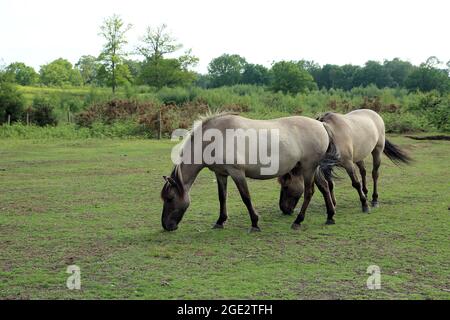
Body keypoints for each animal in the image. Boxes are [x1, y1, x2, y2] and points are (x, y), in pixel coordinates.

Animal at [160, 113, 340, 232]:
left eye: (170, 198)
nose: (166, 226)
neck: (215, 139)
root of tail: (321, 125)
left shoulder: (237, 173)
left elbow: (246, 197)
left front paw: (254, 223)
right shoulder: (221, 174)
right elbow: (222, 197)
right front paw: (220, 221)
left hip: (308, 168)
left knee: (309, 192)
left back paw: (298, 221)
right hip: (312, 168)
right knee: (324, 187)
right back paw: (330, 216)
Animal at [280, 109, 414, 216]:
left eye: (286, 186)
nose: (283, 209)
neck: (330, 135)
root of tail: (375, 114)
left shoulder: (348, 164)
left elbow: (356, 183)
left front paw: (365, 205)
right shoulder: (326, 166)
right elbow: (330, 184)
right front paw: (333, 204)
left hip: (377, 151)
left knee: (374, 174)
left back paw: (374, 200)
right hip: (359, 156)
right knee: (363, 171)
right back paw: (365, 193)